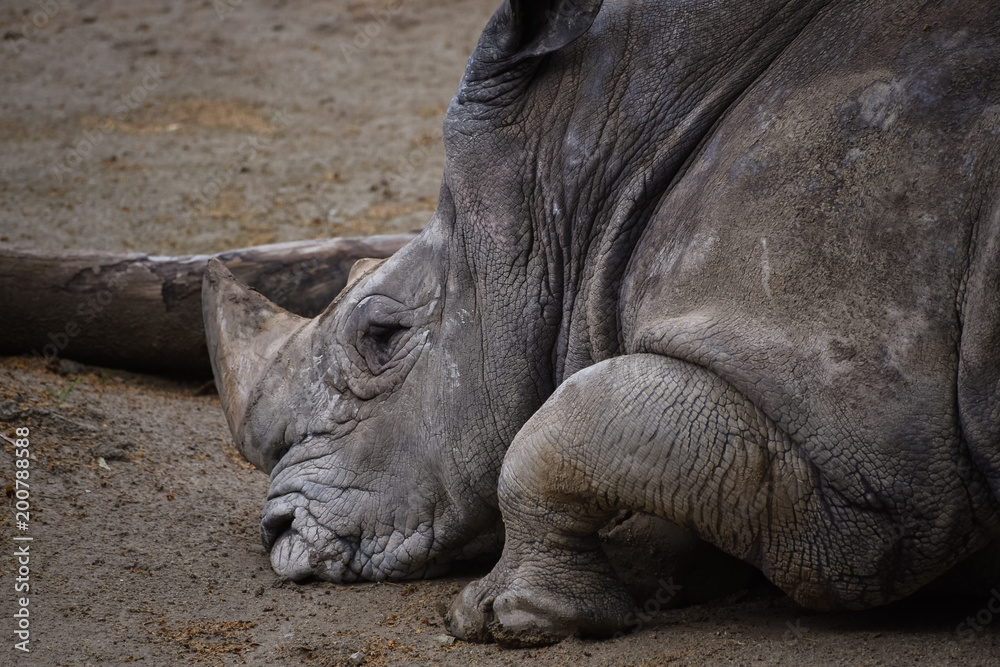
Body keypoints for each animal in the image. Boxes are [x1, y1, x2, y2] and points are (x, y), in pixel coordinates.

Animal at [202, 0, 1000, 646]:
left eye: (381, 336)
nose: (276, 533)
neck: (584, 178)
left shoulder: (873, 465)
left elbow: (568, 424)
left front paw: (504, 619)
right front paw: (683, 579)